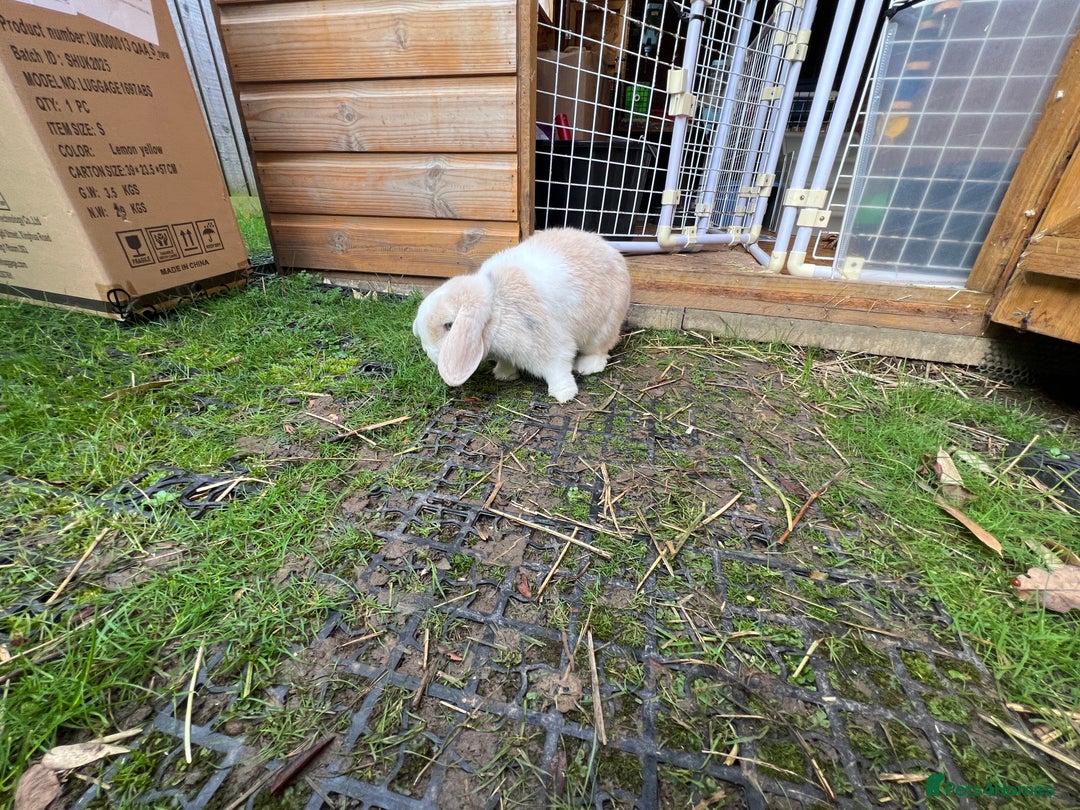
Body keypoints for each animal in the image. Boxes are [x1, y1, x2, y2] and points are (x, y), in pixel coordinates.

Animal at [412, 228, 631, 403]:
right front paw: (503, 374)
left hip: (604, 326)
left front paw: (564, 394)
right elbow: (507, 361)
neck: (497, 307)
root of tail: (612, 251)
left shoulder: (552, 346)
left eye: (449, 325)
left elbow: (558, 368)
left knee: (601, 349)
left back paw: (588, 366)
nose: (427, 351)